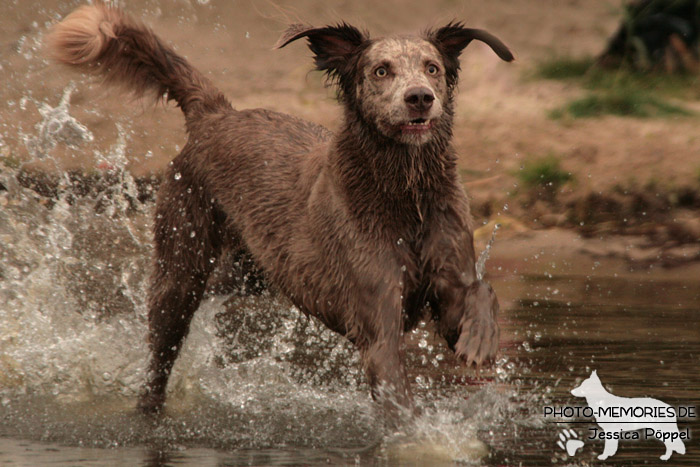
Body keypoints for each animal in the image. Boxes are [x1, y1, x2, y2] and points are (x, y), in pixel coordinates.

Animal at [47, 3, 508, 418]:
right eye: (381, 71)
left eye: (432, 68)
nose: (420, 99)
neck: (405, 196)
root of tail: (215, 115)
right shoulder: (377, 322)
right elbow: (397, 392)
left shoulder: (447, 272)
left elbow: (480, 291)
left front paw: (480, 339)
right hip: (182, 259)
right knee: (160, 350)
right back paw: (143, 402)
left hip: (252, 270)